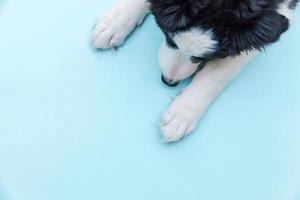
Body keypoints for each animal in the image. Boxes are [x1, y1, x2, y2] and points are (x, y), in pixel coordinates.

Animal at [91, 0, 298, 143]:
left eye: (201, 57)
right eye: (169, 37)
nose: (168, 81)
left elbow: (216, 74)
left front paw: (183, 112)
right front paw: (116, 21)